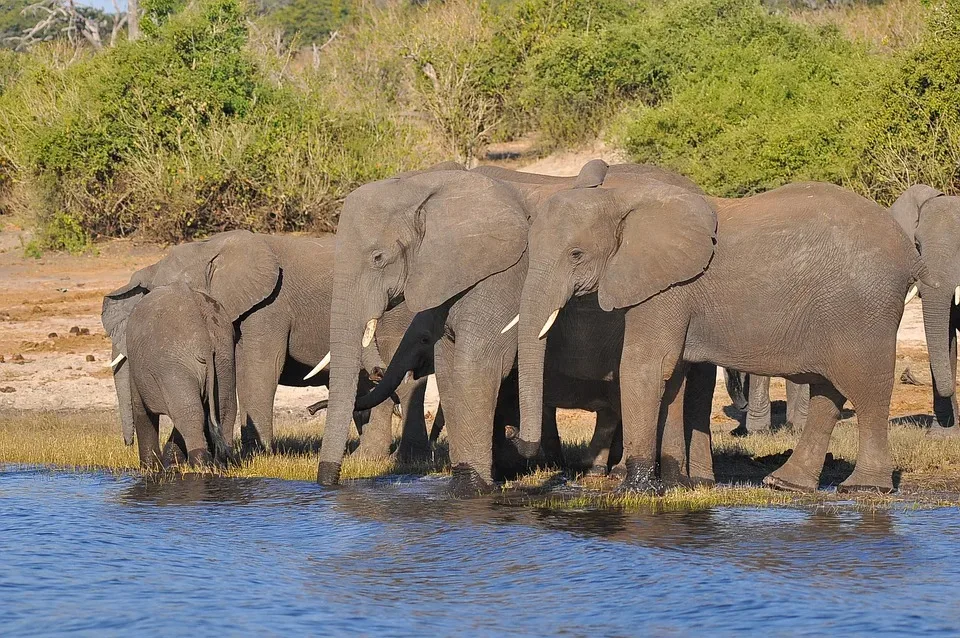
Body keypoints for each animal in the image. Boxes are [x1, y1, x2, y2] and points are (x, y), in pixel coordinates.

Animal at [124, 284, 236, 470]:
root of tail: (205, 338)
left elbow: (141, 409)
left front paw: (151, 469)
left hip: (174, 364)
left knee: (189, 413)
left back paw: (199, 465)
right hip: (224, 357)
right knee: (225, 409)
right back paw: (221, 464)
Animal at [516, 174, 928, 496]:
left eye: (576, 254)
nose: (522, 444)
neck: (621, 199)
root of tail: (911, 255)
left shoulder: (668, 287)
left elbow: (646, 366)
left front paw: (634, 490)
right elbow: (673, 377)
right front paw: (677, 484)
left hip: (864, 308)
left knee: (867, 389)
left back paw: (864, 487)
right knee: (828, 390)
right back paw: (786, 484)